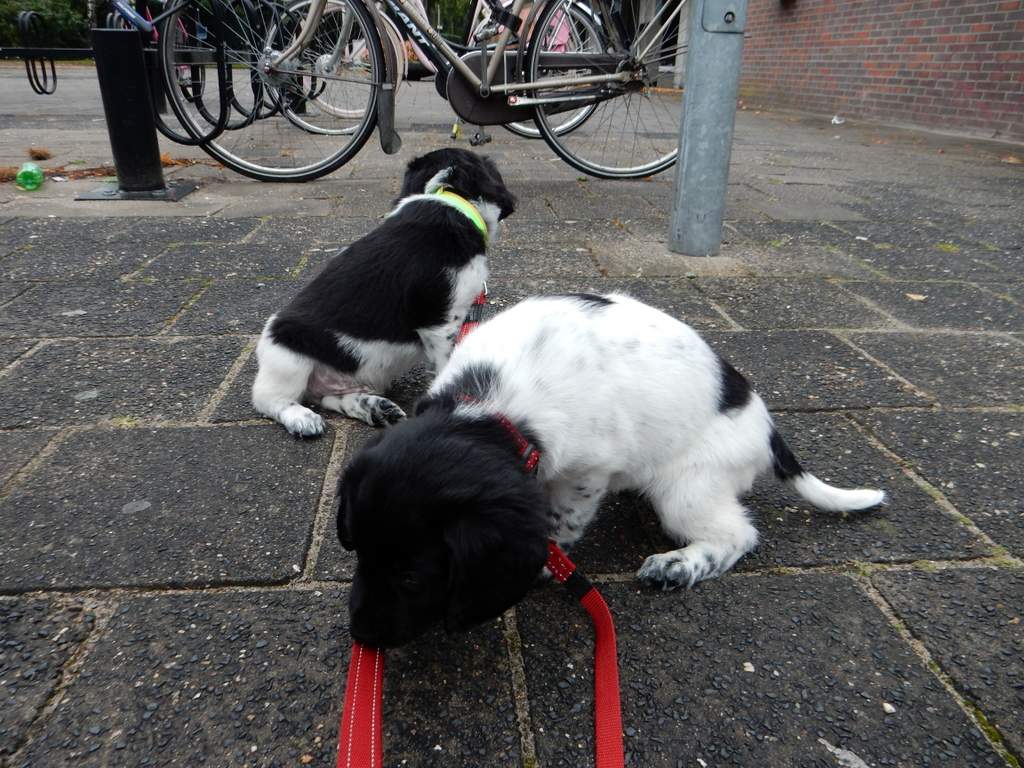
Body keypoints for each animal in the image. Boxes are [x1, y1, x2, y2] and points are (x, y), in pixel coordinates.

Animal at [251, 149, 516, 436]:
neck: (446, 196)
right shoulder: (439, 322)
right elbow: (447, 363)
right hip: (287, 352)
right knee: (268, 398)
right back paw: (301, 418)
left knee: (331, 398)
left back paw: (374, 408)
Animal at [336, 293, 886, 647]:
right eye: (358, 551)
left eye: (412, 578)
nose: (359, 634)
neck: (490, 406)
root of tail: (767, 428)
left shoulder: (587, 470)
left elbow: (562, 522)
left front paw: (547, 562)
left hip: (687, 487)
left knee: (737, 535)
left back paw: (678, 565)